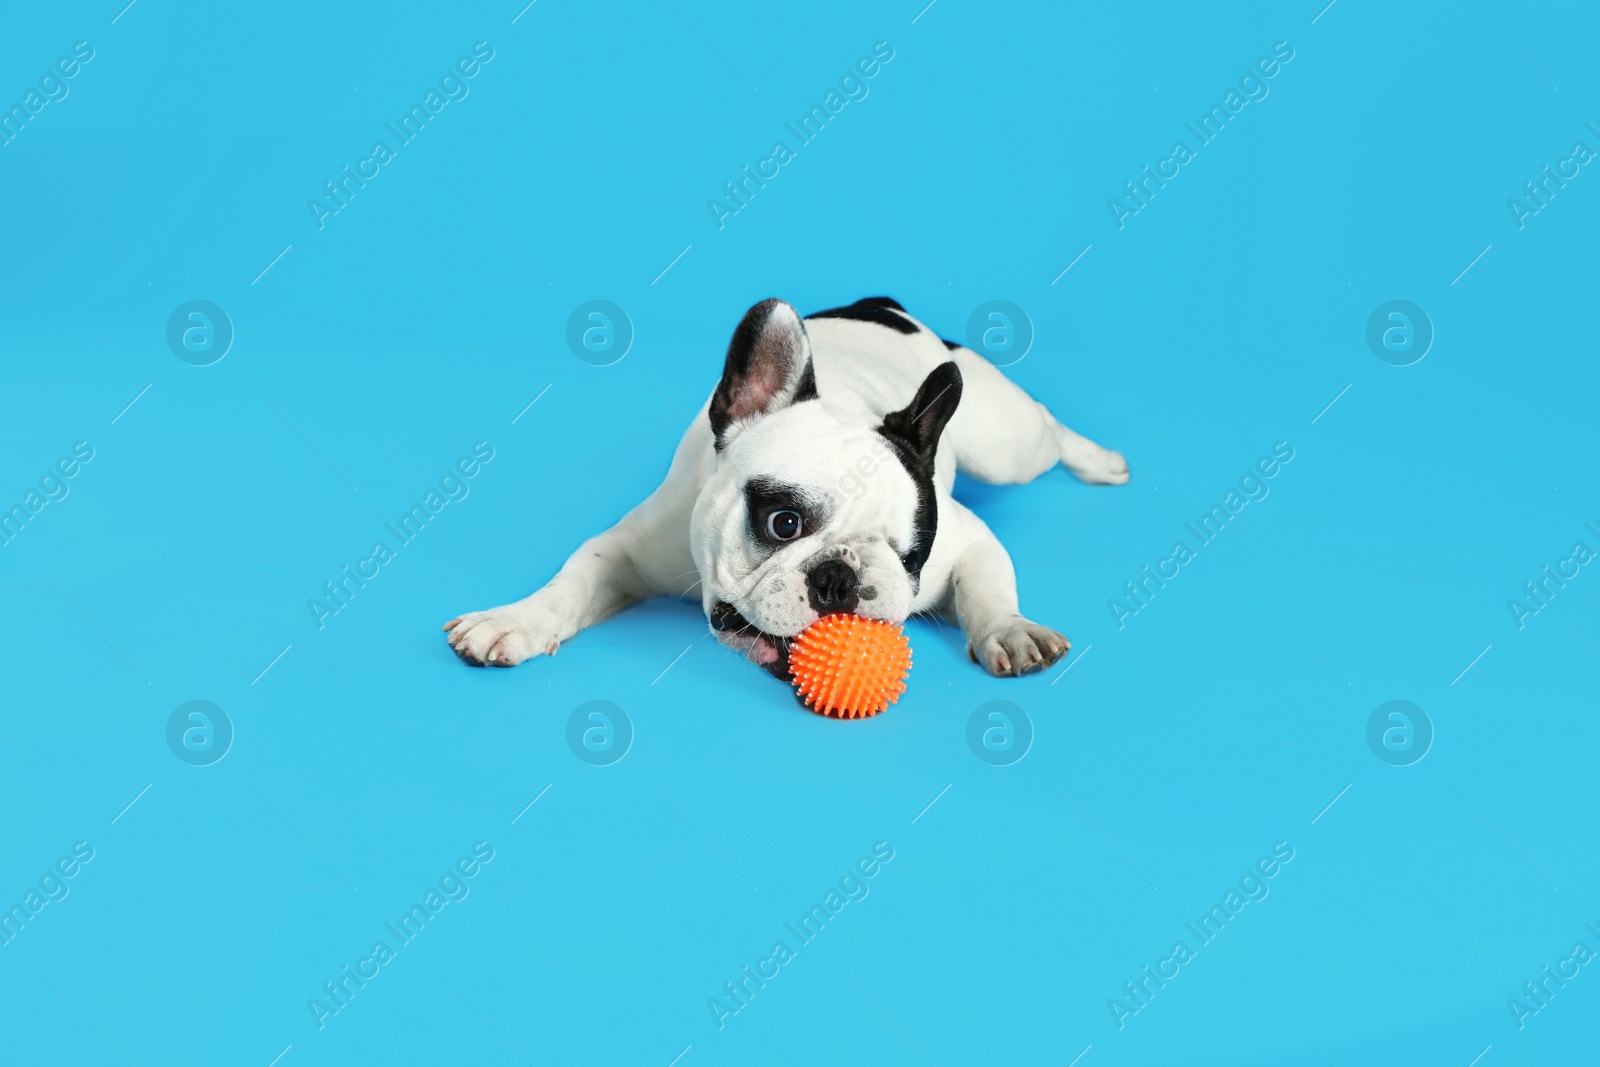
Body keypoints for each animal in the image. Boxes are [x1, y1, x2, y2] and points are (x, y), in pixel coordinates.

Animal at [444, 294, 1132, 675]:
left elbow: (990, 591)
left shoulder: (970, 541)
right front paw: (511, 620)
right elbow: (572, 583)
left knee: (1046, 430)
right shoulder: (629, 549)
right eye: (783, 523)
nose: (841, 578)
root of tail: (880, 305)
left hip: (1002, 445)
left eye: (911, 557)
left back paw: (1101, 460)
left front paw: (1011, 631)